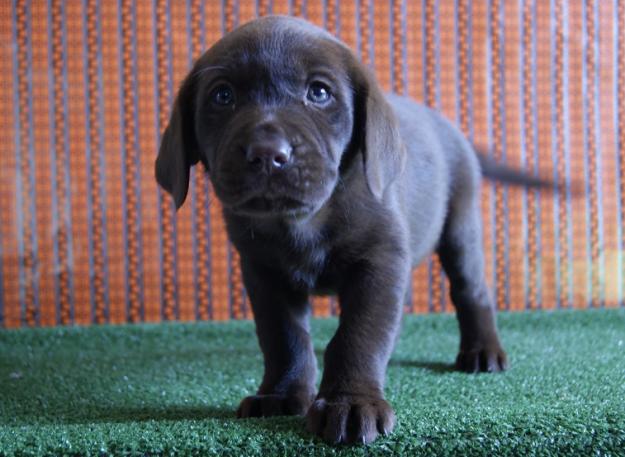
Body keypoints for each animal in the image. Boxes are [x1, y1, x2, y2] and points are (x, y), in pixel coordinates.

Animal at [156, 16, 532, 444]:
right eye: (222, 95)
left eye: (319, 92)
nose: (268, 153)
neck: (303, 220)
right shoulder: (263, 273)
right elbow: (284, 338)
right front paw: (279, 395)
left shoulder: (380, 261)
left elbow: (359, 334)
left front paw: (351, 403)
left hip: (461, 225)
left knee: (471, 291)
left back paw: (482, 351)